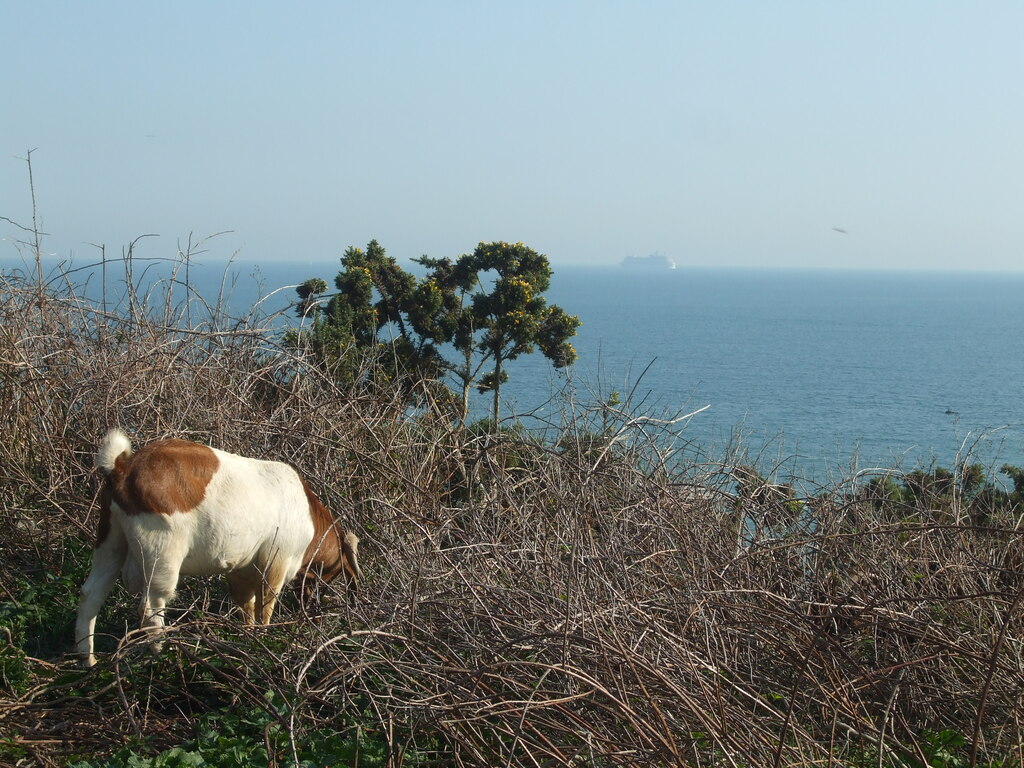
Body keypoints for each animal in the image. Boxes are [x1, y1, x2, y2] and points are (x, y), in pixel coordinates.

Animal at [73, 434, 360, 667]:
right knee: (150, 606)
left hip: (110, 541)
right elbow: (266, 603)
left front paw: (250, 636)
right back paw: (160, 652)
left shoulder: (241, 569)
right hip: (161, 551)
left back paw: (88, 660)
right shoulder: (276, 560)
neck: (309, 514)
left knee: (91, 595)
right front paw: (265, 637)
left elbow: (247, 604)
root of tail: (123, 467)